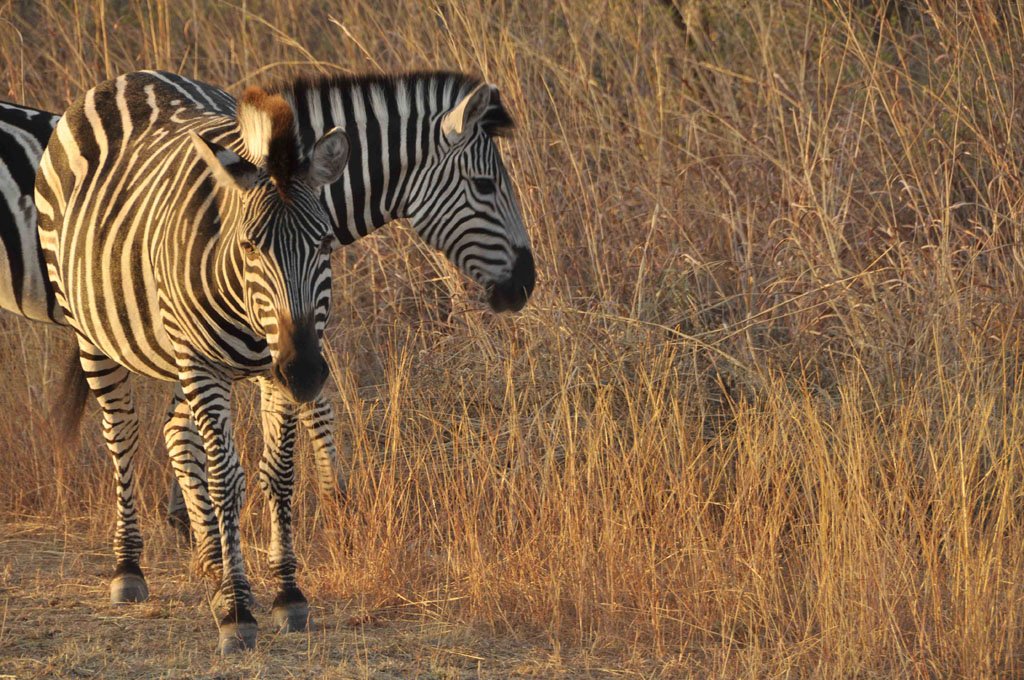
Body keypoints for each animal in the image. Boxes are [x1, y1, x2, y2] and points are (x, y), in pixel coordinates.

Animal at [35, 70, 350, 653]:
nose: (306, 373)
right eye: (250, 247)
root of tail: (130, 77)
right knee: (123, 436)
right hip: (93, 332)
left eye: (324, 244)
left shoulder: (274, 370)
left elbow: (280, 475)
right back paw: (129, 567)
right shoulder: (206, 367)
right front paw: (237, 609)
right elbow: (227, 479)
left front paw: (287, 593)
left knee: (176, 432)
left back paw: (209, 561)